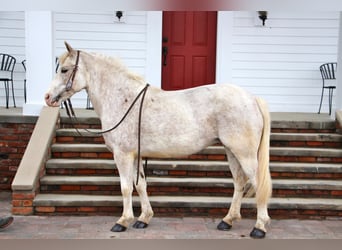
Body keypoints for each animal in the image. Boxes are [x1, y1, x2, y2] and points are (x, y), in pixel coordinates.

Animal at [45, 42, 272, 239]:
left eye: (64, 70)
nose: (47, 97)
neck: (122, 98)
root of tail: (252, 98)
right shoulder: (135, 155)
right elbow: (140, 185)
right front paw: (143, 219)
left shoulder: (122, 155)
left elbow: (126, 187)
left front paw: (123, 221)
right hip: (231, 151)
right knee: (239, 182)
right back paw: (227, 220)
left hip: (245, 154)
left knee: (257, 183)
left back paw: (259, 227)